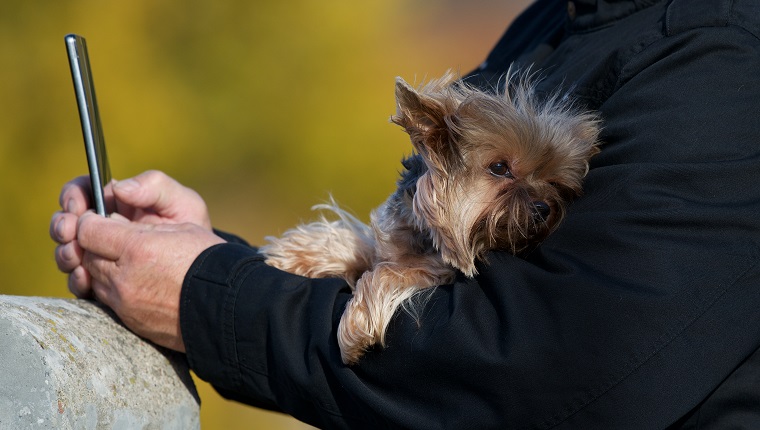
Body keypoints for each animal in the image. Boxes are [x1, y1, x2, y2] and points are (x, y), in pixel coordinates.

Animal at [260, 70, 600, 362]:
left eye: (554, 183)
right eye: (499, 167)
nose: (544, 208)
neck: (423, 233)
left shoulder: (437, 269)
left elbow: (388, 272)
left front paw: (356, 327)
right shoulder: (390, 241)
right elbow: (361, 245)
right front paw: (295, 255)